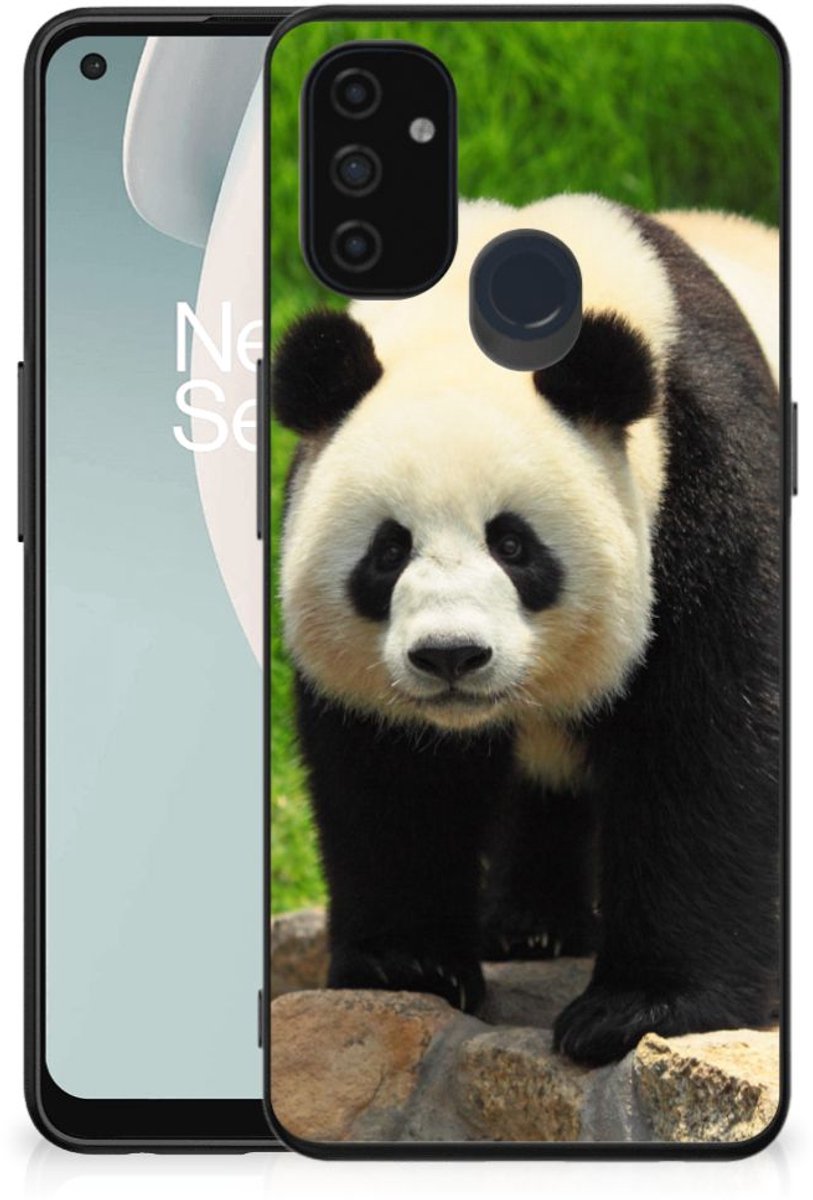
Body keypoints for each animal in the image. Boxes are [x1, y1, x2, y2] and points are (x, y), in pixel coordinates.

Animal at [272, 195, 781, 1065]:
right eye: (387, 550)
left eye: (512, 544)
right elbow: (390, 774)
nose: (450, 656)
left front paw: (640, 1007)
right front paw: (408, 965)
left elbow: (707, 741)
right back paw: (531, 927)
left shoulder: (706, 477)